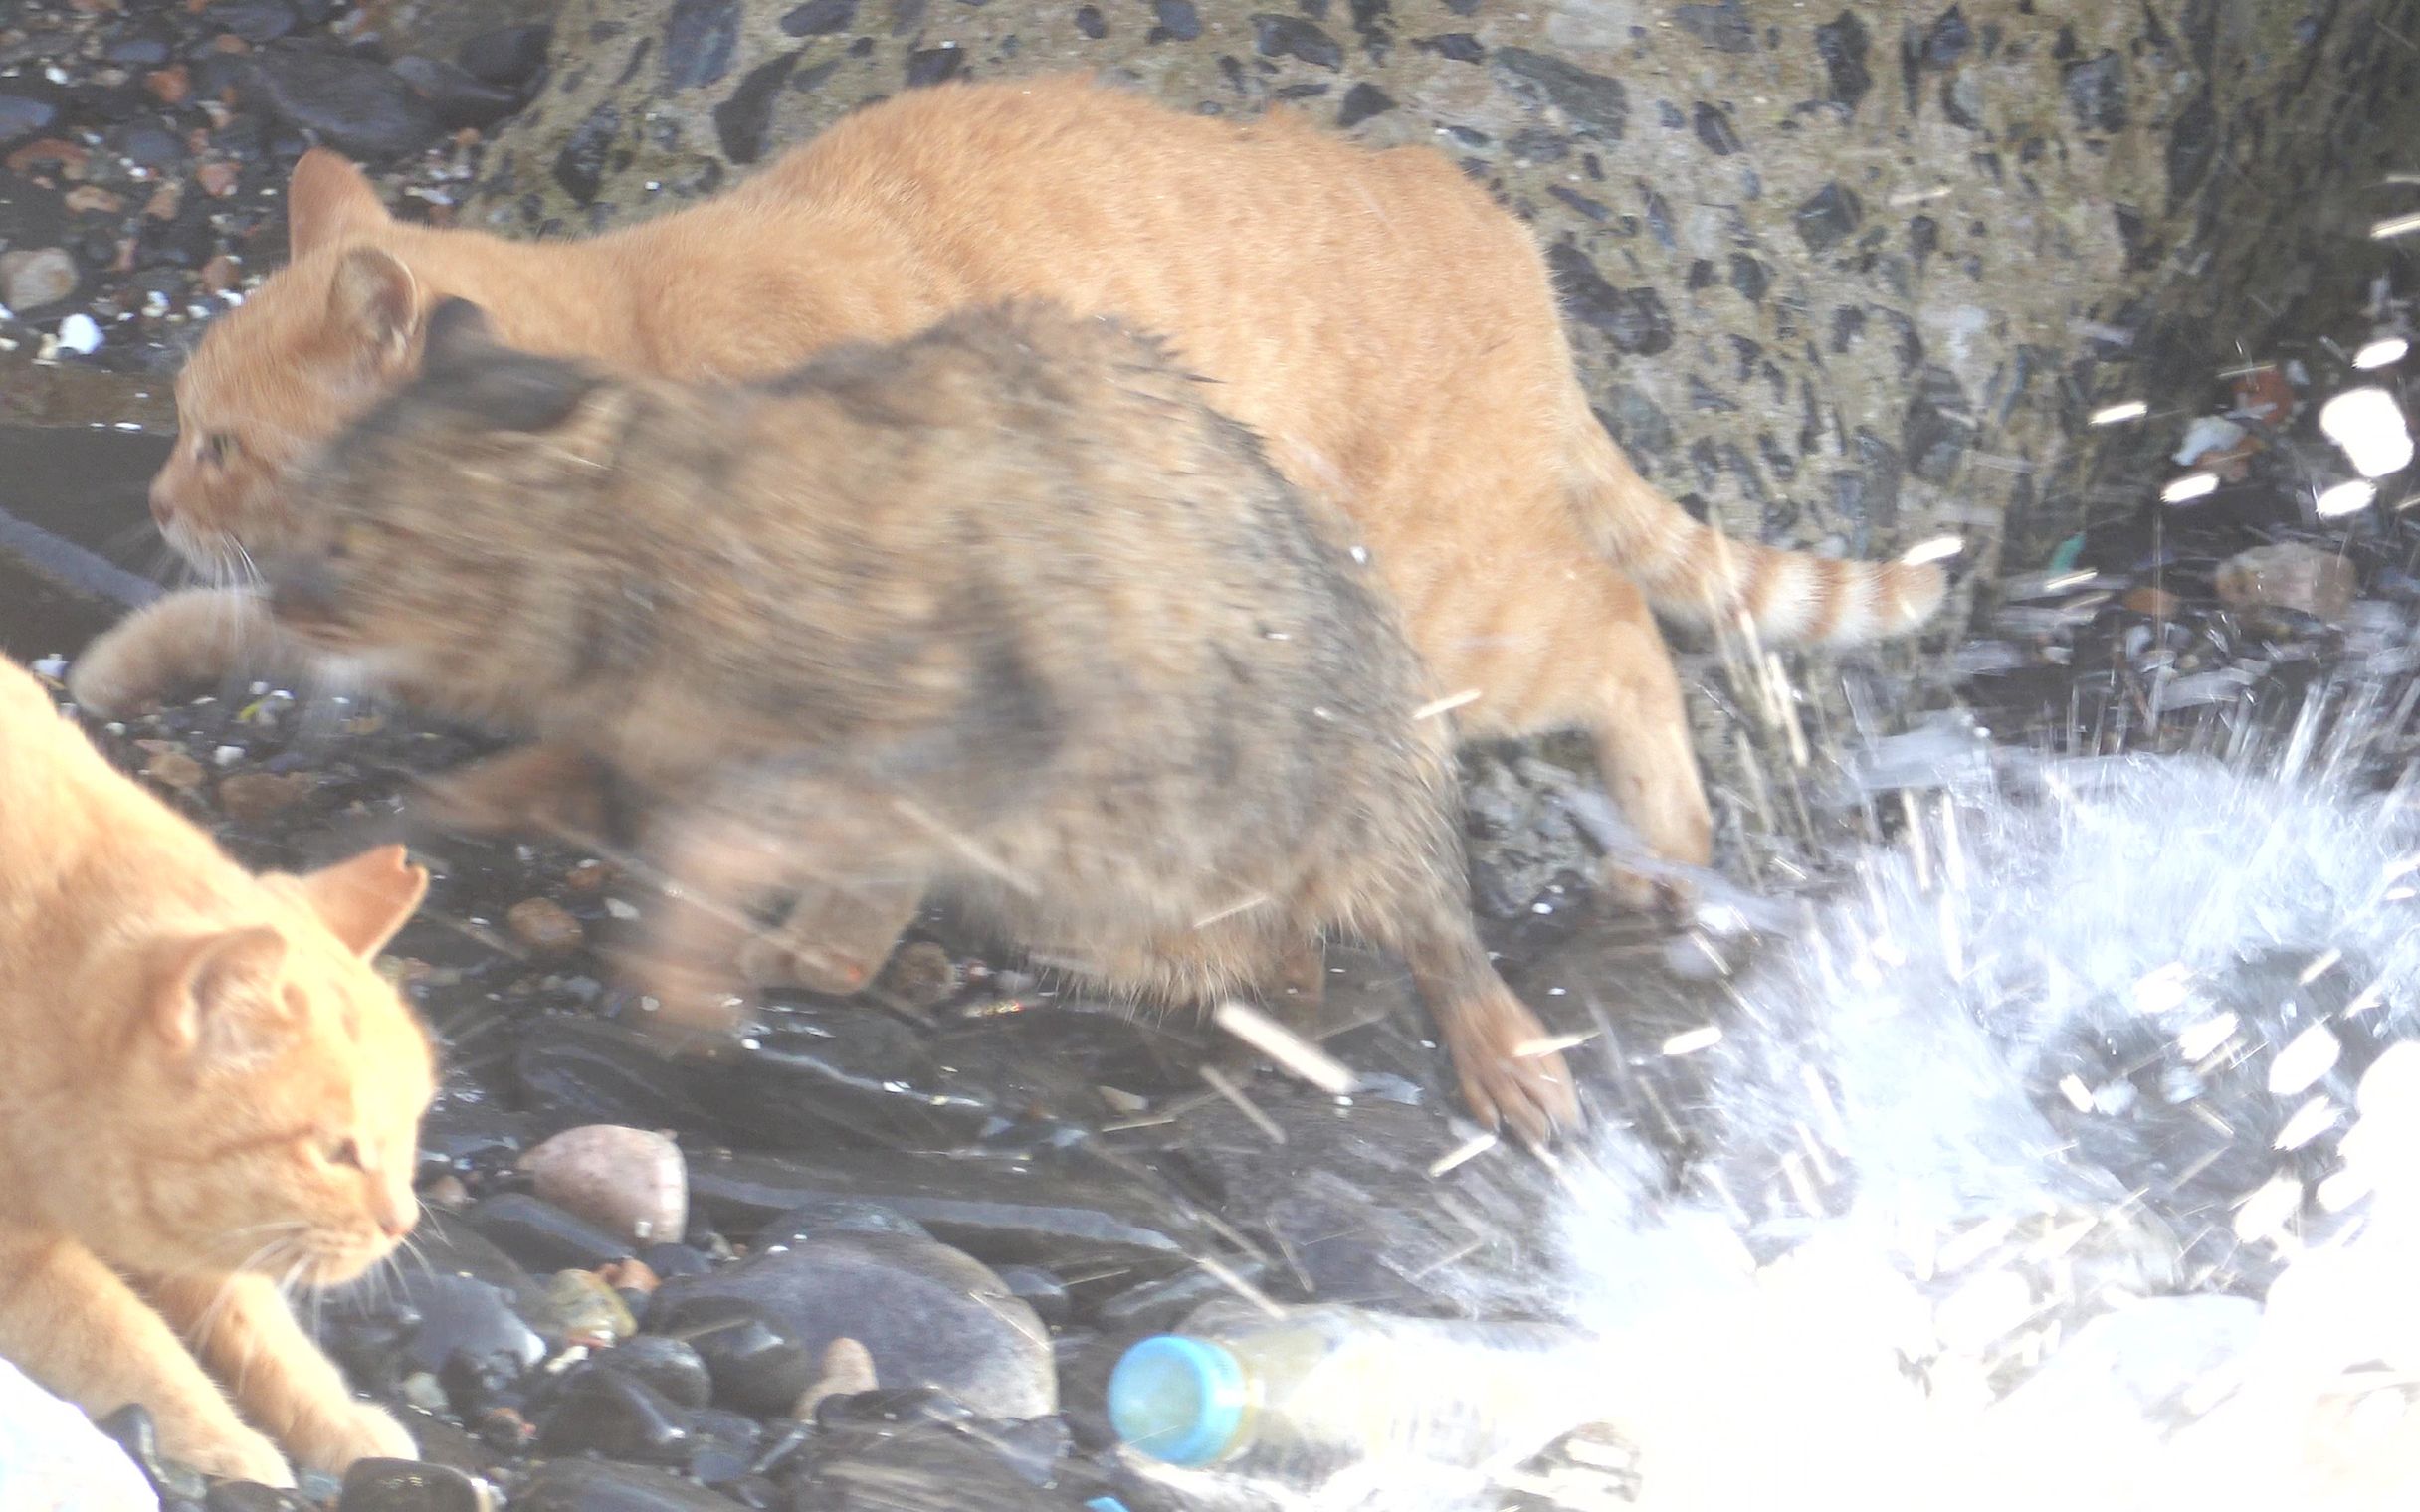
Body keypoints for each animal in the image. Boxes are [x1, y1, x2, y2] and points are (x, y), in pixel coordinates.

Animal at [0, 653, 430, 1480]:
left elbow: (256, 1323)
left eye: (411, 1139)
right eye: (337, 1153)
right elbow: (116, 1337)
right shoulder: (19, 1259)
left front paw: (339, 1423)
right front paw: (220, 1441)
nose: (403, 1224)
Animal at [265, 297, 1587, 1141]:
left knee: (1438, 928)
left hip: (1366, 786)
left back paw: (1510, 1059)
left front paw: (695, 975)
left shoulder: (975, 736)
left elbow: (730, 834)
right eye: (310, 504)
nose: (275, 592)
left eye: (358, 536)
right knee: (1289, 955)